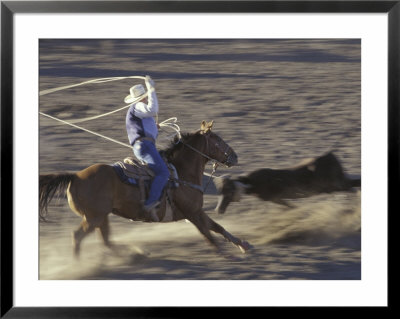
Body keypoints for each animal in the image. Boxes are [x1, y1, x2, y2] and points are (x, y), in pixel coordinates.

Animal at [38, 121, 250, 258]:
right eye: (217, 139)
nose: (235, 156)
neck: (181, 172)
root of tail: (75, 176)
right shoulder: (192, 213)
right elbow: (208, 234)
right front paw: (225, 253)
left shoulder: (196, 212)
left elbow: (218, 227)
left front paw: (243, 245)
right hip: (93, 218)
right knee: (78, 237)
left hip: (100, 216)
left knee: (106, 240)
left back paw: (135, 253)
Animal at [214, 152, 360, 215]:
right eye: (220, 191)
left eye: (229, 191)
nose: (219, 210)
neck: (251, 182)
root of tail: (330, 156)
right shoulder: (276, 200)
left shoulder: (275, 198)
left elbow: (291, 207)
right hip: (337, 185)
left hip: (337, 185)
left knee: (354, 185)